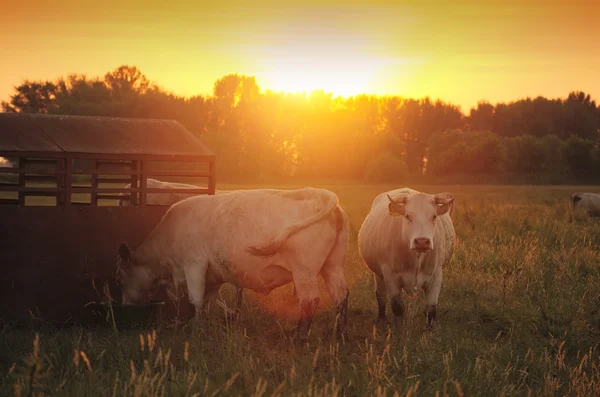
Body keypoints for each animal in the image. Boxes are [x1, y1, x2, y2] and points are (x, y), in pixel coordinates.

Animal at [115, 188, 350, 340]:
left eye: (121, 277)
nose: (124, 305)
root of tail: (320, 194)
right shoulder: (212, 276)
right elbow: (208, 302)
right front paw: (205, 324)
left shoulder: (194, 265)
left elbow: (195, 300)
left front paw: (195, 328)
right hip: (333, 267)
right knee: (341, 295)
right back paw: (339, 333)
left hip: (304, 271)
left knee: (309, 300)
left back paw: (299, 336)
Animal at [356, 187, 454, 326]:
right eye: (408, 216)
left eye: (434, 216)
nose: (422, 241)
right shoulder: (389, 275)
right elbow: (397, 307)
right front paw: (399, 326)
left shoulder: (436, 275)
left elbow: (431, 310)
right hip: (378, 275)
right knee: (381, 296)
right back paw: (381, 318)